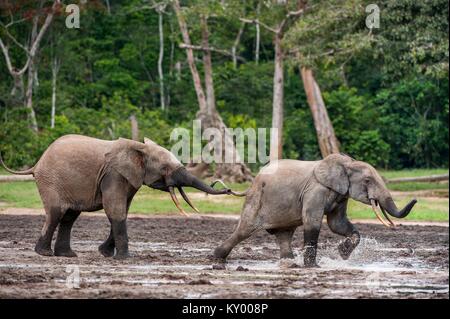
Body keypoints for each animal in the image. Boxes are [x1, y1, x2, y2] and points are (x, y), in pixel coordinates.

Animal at [2, 134, 236, 260]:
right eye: (165, 168)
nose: (228, 189)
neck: (140, 147)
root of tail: (37, 164)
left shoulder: (129, 178)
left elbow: (123, 209)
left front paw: (105, 253)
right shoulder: (113, 174)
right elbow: (115, 209)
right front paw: (124, 258)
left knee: (69, 217)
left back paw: (67, 255)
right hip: (51, 181)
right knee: (56, 213)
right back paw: (44, 254)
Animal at [213, 154, 416, 268]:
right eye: (367, 181)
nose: (415, 199)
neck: (347, 163)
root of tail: (252, 182)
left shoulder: (341, 194)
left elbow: (337, 224)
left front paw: (342, 253)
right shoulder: (315, 190)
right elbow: (312, 222)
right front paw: (314, 267)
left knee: (284, 235)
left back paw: (290, 263)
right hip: (256, 199)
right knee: (244, 230)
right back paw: (216, 258)